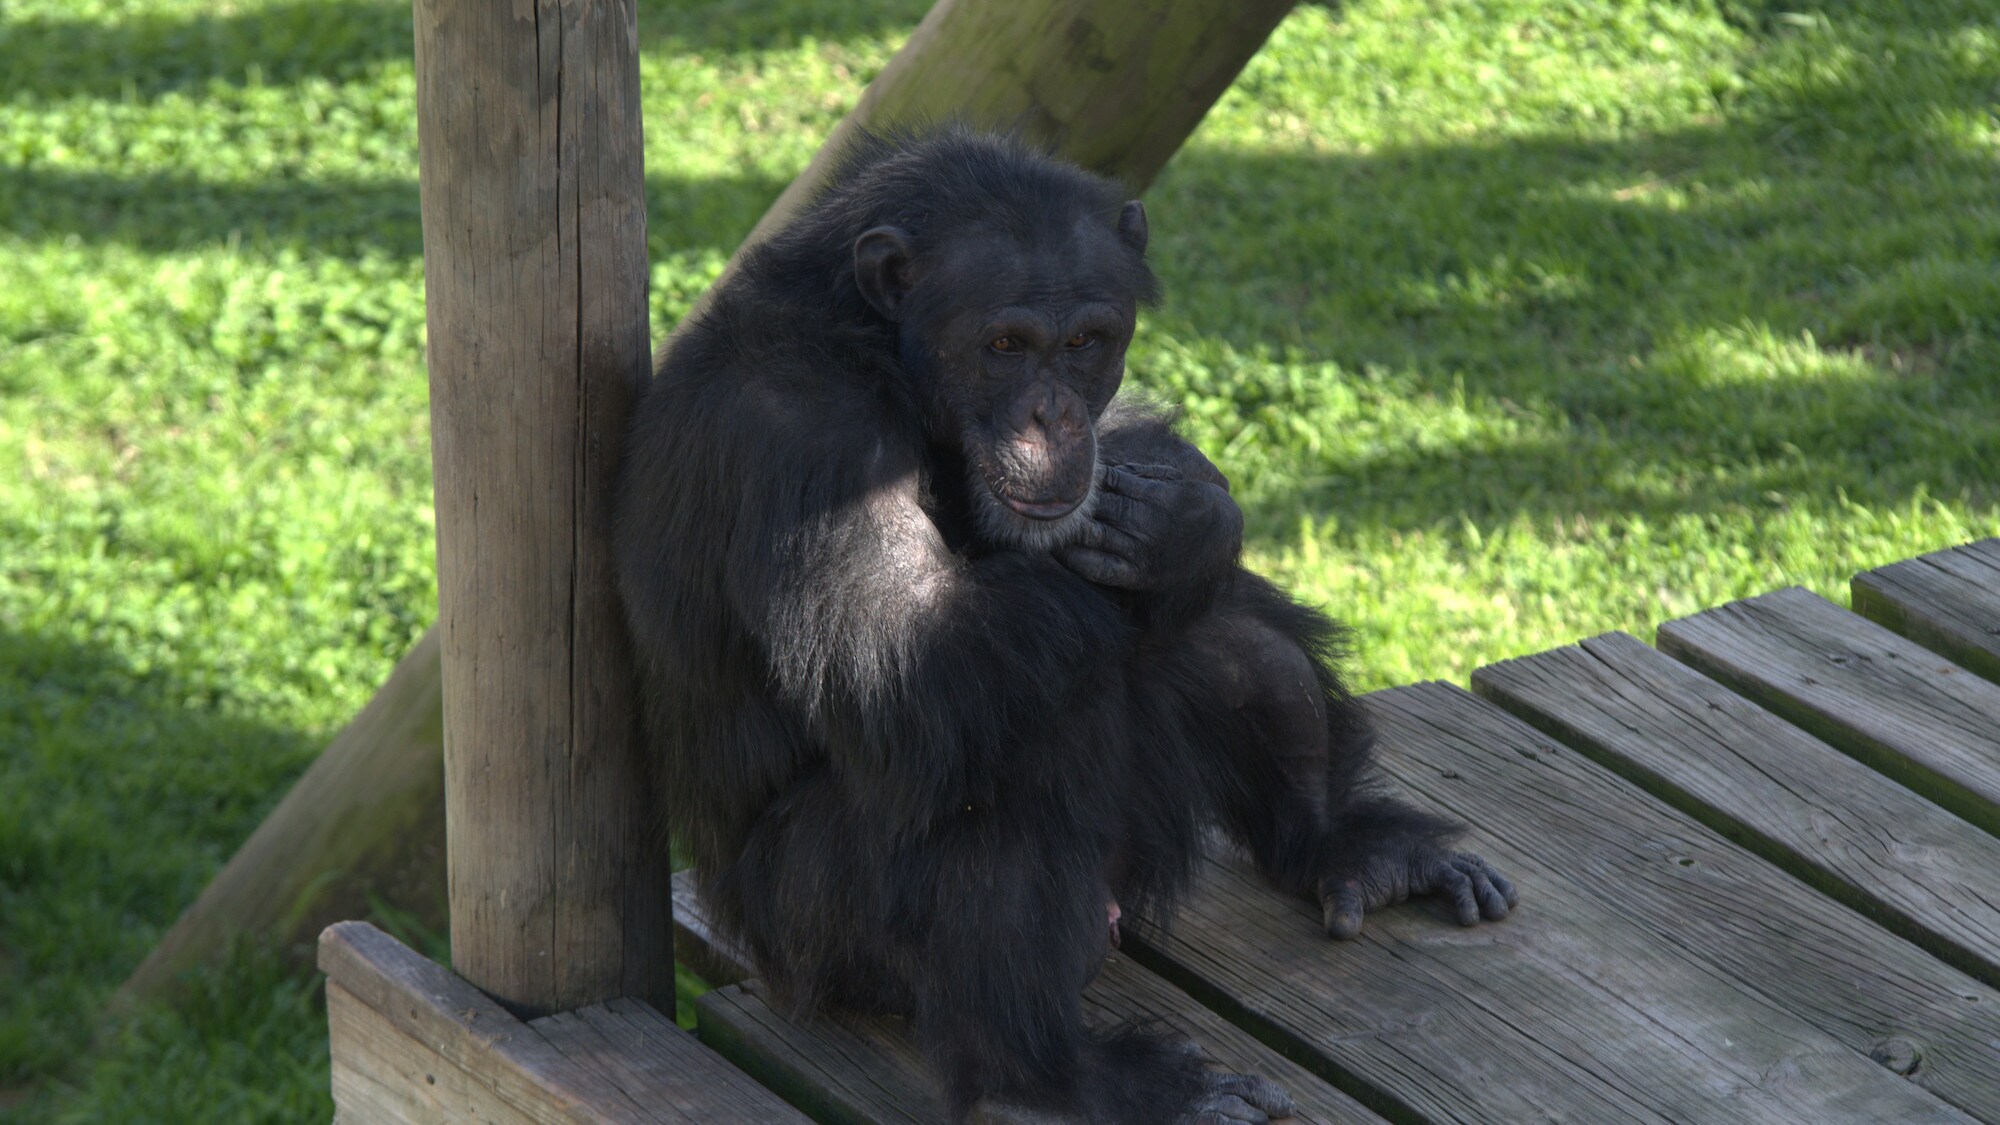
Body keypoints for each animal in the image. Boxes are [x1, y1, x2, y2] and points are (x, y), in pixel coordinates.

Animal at [608, 131, 1512, 1120]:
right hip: (822, 937)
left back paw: (1343, 844)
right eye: (1005, 346)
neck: (878, 352)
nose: (1053, 414)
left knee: (1210, 633)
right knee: (1008, 767)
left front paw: (1192, 518)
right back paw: (1061, 1079)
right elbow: (908, 657)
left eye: (1084, 343)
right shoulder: (807, 438)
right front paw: (1181, 523)